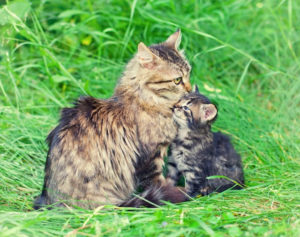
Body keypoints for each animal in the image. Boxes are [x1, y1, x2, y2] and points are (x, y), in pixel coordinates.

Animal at [34, 30, 191, 209]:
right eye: (177, 80)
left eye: (189, 73)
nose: (190, 89)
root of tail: (52, 202)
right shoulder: (150, 157)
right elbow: (156, 183)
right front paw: (170, 191)